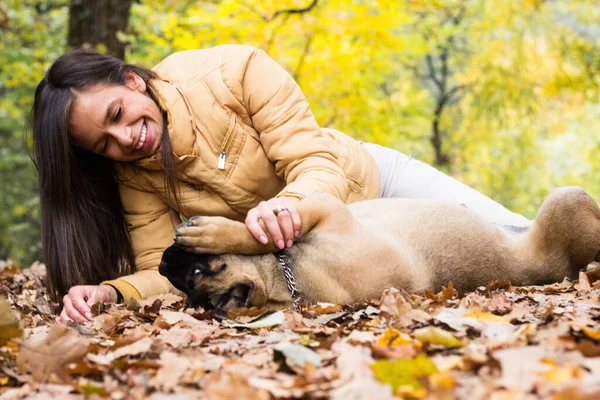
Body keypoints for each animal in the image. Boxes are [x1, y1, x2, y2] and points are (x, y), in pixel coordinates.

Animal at [158, 188, 600, 316]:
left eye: (192, 274)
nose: (162, 264)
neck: (290, 278)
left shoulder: (322, 209)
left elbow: (262, 232)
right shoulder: (326, 211)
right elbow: (260, 236)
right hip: (566, 199)